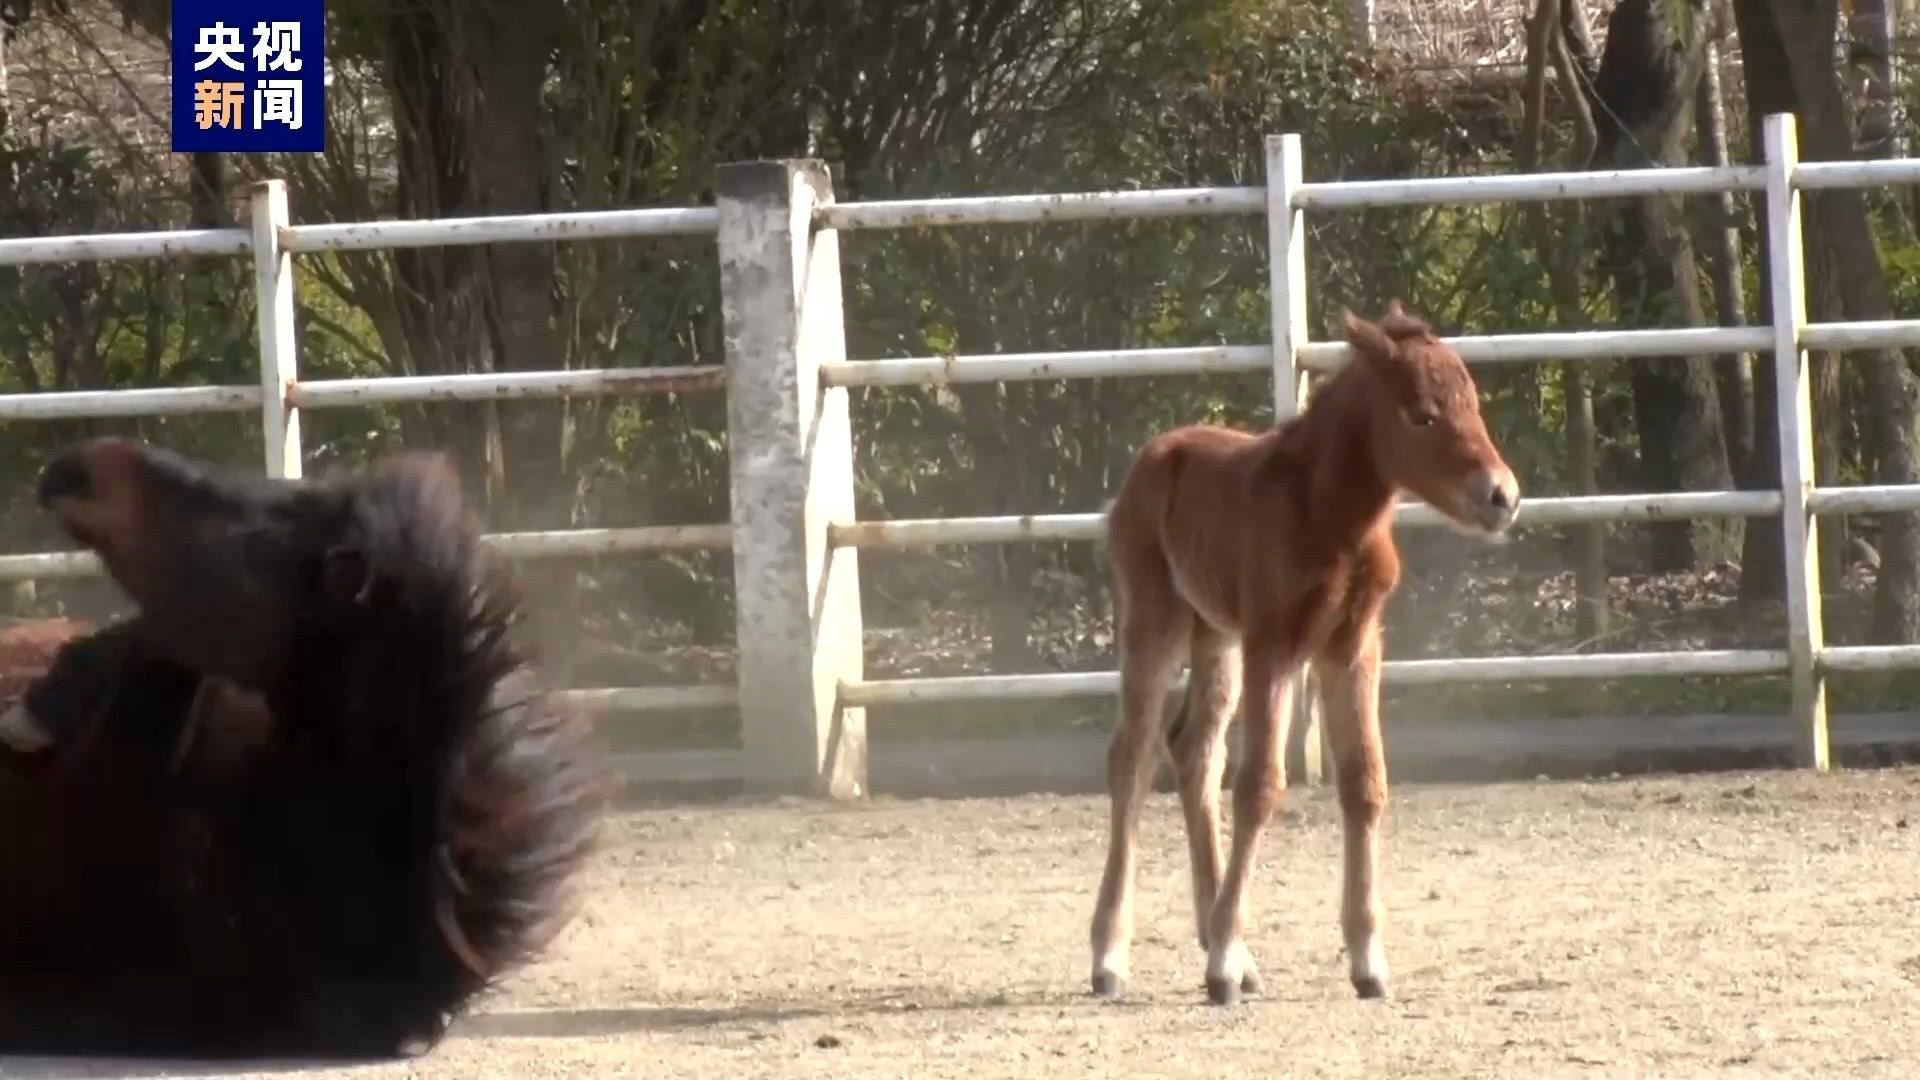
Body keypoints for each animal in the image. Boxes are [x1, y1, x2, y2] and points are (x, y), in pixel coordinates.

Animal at [1087, 302, 1521, 1006]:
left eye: (1473, 403)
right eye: (1420, 415)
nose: (1502, 497)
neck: (1330, 519)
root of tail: (1154, 455)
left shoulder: (1353, 647)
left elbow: (1364, 782)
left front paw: (1368, 963)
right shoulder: (1276, 645)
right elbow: (1260, 785)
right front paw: (1221, 968)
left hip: (1216, 637)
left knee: (1194, 751)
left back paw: (1226, 945)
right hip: (1154, 623)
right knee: (1133, 758)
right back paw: (1111, 957)